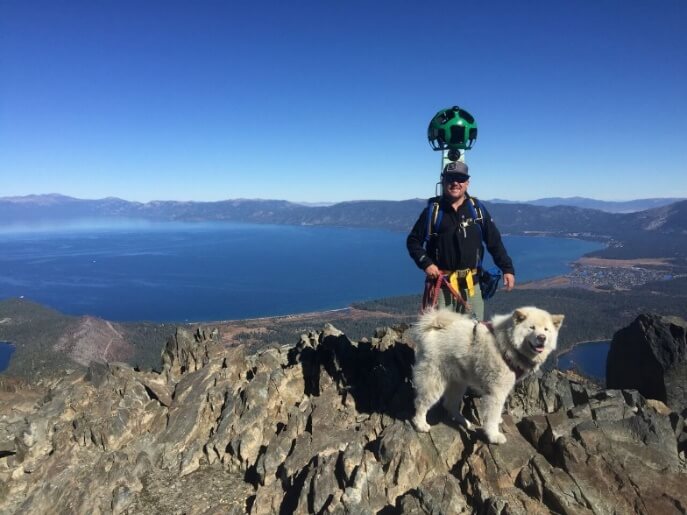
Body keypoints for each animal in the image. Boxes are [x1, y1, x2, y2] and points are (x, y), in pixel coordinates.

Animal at [414, 306, 564, 444]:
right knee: (421, 403)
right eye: (531, 327)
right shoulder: (496, 392)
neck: (508, 345)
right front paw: (494, 436)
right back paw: (420, 425)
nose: (542, 338)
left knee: (449, 404)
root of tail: (431, 329)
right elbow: (492, 416)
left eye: (546, 329)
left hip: (458, 383)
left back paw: (465, 422)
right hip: (434, 381)